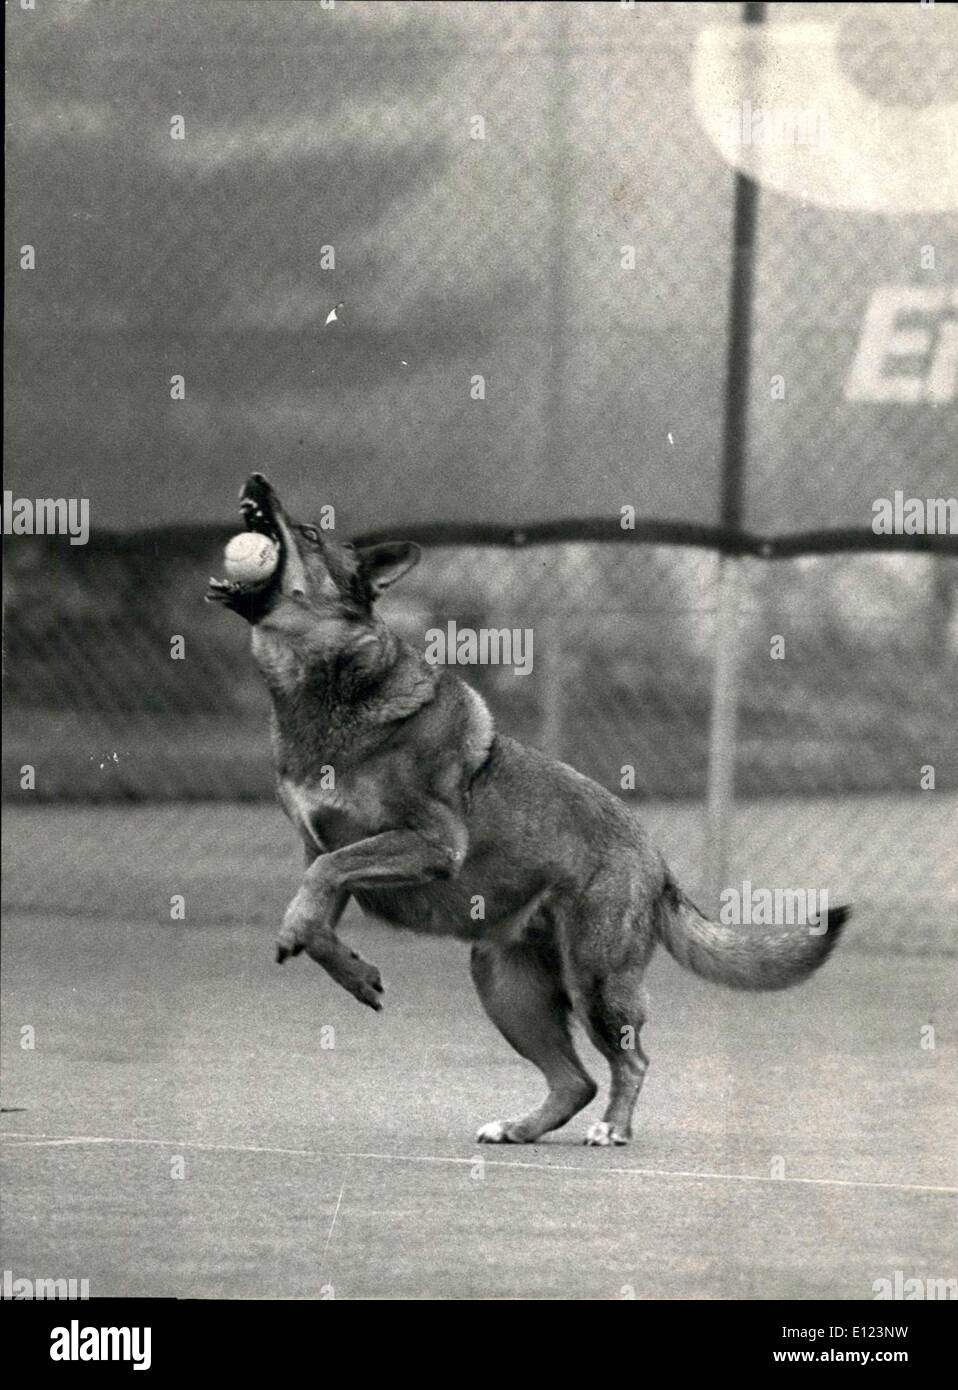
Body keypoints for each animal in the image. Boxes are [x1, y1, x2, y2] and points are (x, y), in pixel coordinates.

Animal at [205, 472, 850, 1145]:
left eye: (308, 534)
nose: (257, 480)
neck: (327, 687)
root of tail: (656, 860)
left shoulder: (429, 841)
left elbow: (318, 884)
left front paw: (307, 940)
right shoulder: (326, 847)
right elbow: (317, 914)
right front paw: (353, 971)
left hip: (594, 981)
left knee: (631, 1061)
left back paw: (612, 1128)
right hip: (505, 985)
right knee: (575, 1080)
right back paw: (520, 1127)